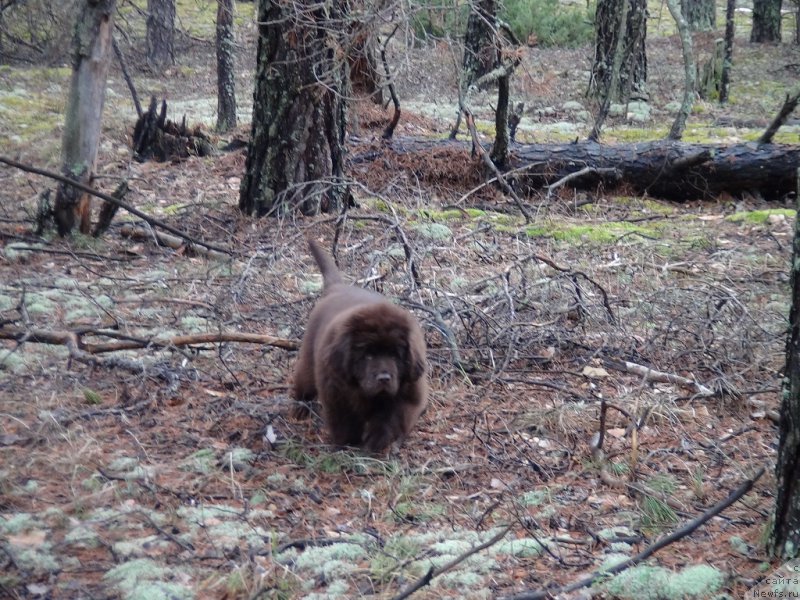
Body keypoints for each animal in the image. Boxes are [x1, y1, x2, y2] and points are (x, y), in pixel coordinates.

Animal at [294, 241, 428, 452]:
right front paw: (348, 444)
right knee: (303, 379)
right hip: (309, 356)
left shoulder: (408, 393)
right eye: (367, 355)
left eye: (395, 356)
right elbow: (345, 421)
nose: (384, 378)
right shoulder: (337, 392)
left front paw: (376, 442)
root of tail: (337, 288)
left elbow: (389, 419)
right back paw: (300, 408)